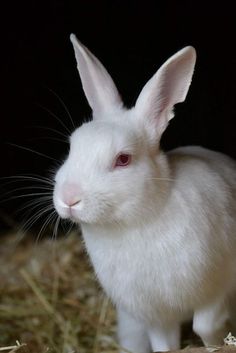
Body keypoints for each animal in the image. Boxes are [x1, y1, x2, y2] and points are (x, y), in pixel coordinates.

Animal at [53, 33, 236, 352]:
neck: (138, 220)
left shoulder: (219, 288)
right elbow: (164, 344)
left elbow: (206, 327)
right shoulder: (155, 316)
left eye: (123, 159)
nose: (69, 198)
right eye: (72, 146)